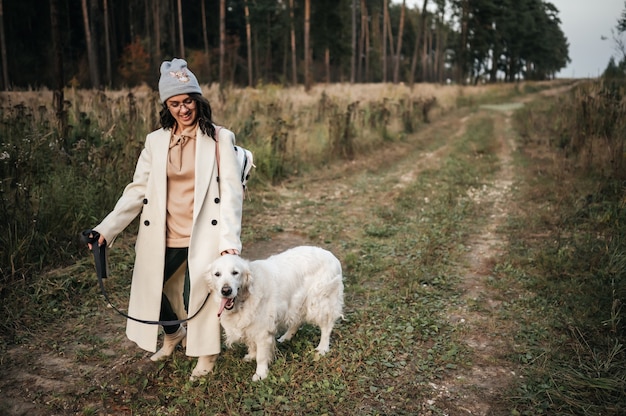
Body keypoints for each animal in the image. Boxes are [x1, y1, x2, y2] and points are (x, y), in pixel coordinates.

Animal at [204, 245, 342, 382]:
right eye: (217, 274)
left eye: (235, 272)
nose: (226, 290)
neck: (244, 299)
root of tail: (330, 255)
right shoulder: (249, 326)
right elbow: (251, 343)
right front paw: (252, 355)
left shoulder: (263, 331)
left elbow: (261, 356)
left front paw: (260, 373)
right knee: (297, 321)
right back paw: (286, 337)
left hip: (319, 302)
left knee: (326, 326)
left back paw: (322, 348)